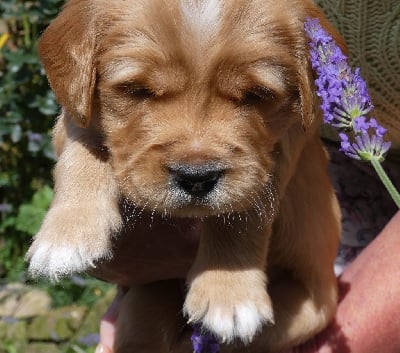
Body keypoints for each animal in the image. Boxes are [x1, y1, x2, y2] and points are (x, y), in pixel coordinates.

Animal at [26, 0, 342, 350]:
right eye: (137, 90)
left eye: (257, 95)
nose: (196, 178)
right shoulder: (75, 114)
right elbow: (81, 149)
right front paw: (66, 236)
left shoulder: (280, 149)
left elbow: (241, 213)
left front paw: (229, 292)